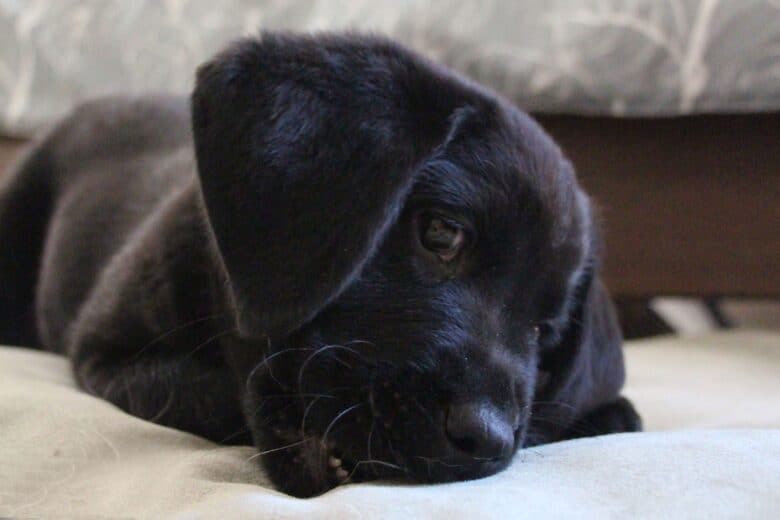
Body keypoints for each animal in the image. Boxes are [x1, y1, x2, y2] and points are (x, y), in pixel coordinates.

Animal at [0, 31, 640, 496]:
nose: (486, 439)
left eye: (545, 332)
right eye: (440, 231)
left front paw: (600, 414)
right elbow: (213, 393)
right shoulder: (107, 354)